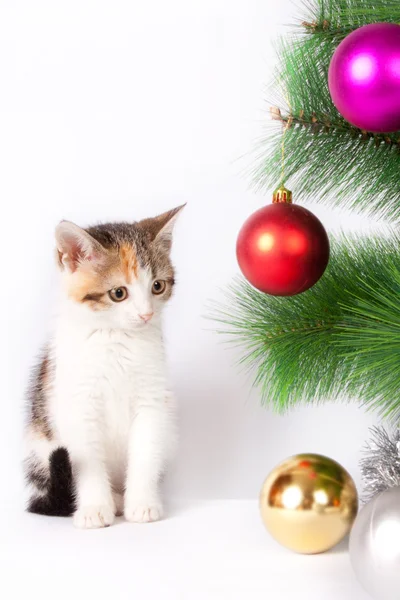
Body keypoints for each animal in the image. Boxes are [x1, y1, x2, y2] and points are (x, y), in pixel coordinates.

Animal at [23, 206, 183, 528]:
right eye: (118, 293)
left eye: (157, 286)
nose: (146, 314)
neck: (117, 338)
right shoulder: (78, 403)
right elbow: (87, 460)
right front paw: (95, 508)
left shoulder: (152, 400)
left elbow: (145, 451)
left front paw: (142, 504)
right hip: (40, 446)